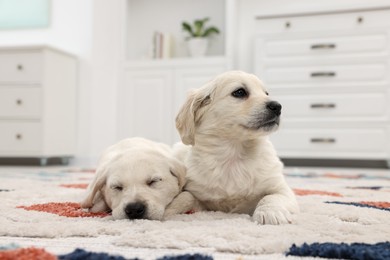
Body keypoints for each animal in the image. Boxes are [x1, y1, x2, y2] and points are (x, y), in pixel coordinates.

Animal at [167, 70, 298, 224]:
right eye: (239, 92)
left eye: (266, 93)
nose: (277, 106)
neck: (234, 153)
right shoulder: (200, 196)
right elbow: (185, 196)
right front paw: (168, 209)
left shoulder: (281, 189)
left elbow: (271, 196)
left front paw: (270, 213)